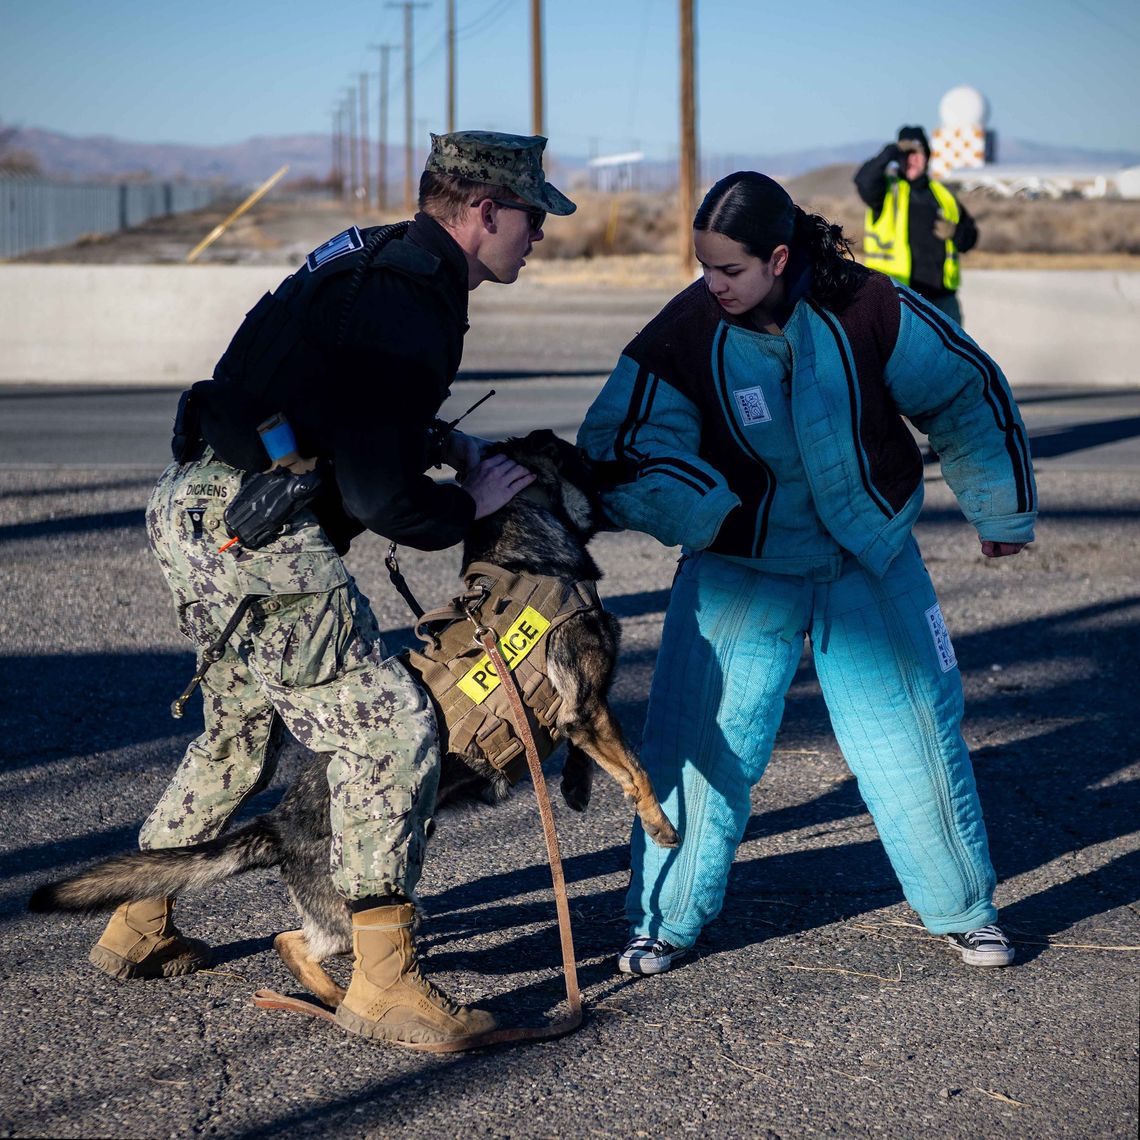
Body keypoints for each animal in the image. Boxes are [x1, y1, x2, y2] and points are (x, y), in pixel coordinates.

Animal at [31, 428, 679, 1007]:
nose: (635, 461)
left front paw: (575, 787)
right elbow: (637, 770)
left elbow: (587, 750)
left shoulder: (580, 711)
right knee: (300, 942)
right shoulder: (588, 706)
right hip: (360, 900)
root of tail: (278, 825)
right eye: (585, 461)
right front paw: (660, 826)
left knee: (293, 938)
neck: (526, 557)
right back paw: (346, 1001)